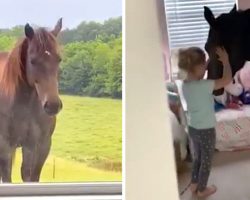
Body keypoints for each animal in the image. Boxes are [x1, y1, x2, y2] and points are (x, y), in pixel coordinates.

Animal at [0, 19, 63, 183]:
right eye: (33, 61)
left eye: (59, 59)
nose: (52, 105)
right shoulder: (5, 145)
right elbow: (7, 177)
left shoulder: (38, 145)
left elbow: (29, 175)